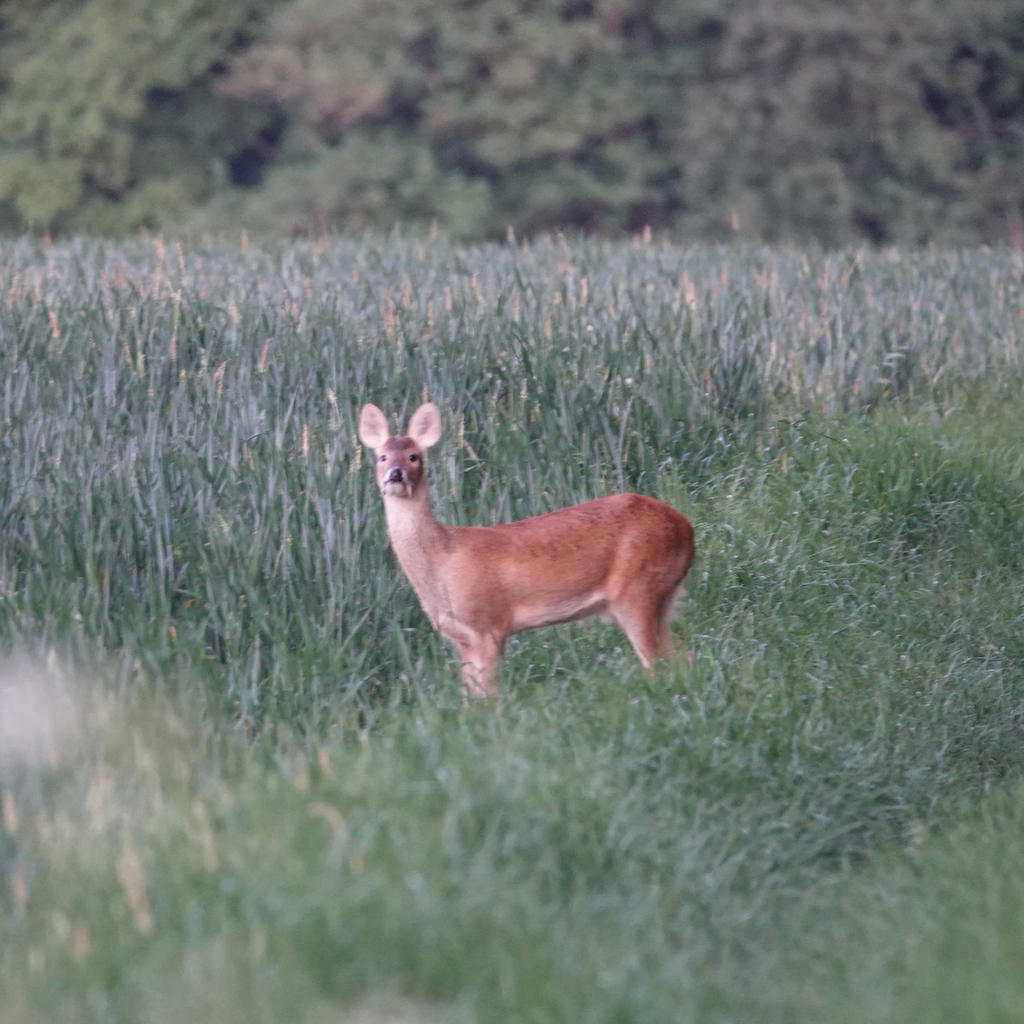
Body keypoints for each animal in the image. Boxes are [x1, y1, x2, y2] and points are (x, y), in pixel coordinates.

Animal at [358, 402, 696, 697]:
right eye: (382, 456)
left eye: (414, 456)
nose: (395, 473)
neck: (442, 558)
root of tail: (686, 530)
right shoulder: (462, 638)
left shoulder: (489, 624)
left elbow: (490, 696)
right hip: (661, 596)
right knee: (681, 652)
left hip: (637, 588)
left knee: (656, 660)